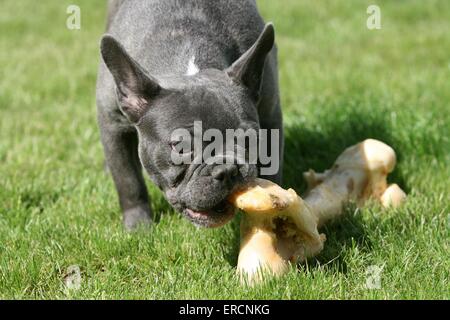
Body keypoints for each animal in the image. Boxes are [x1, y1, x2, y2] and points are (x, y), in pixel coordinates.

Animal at [96, 0, 284, 230]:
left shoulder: (271, 116)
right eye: (181, 147)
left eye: (251, 140)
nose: (228, 169)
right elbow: (128, 180)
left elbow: (272, 170)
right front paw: (139, 226)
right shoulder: (113, 125)